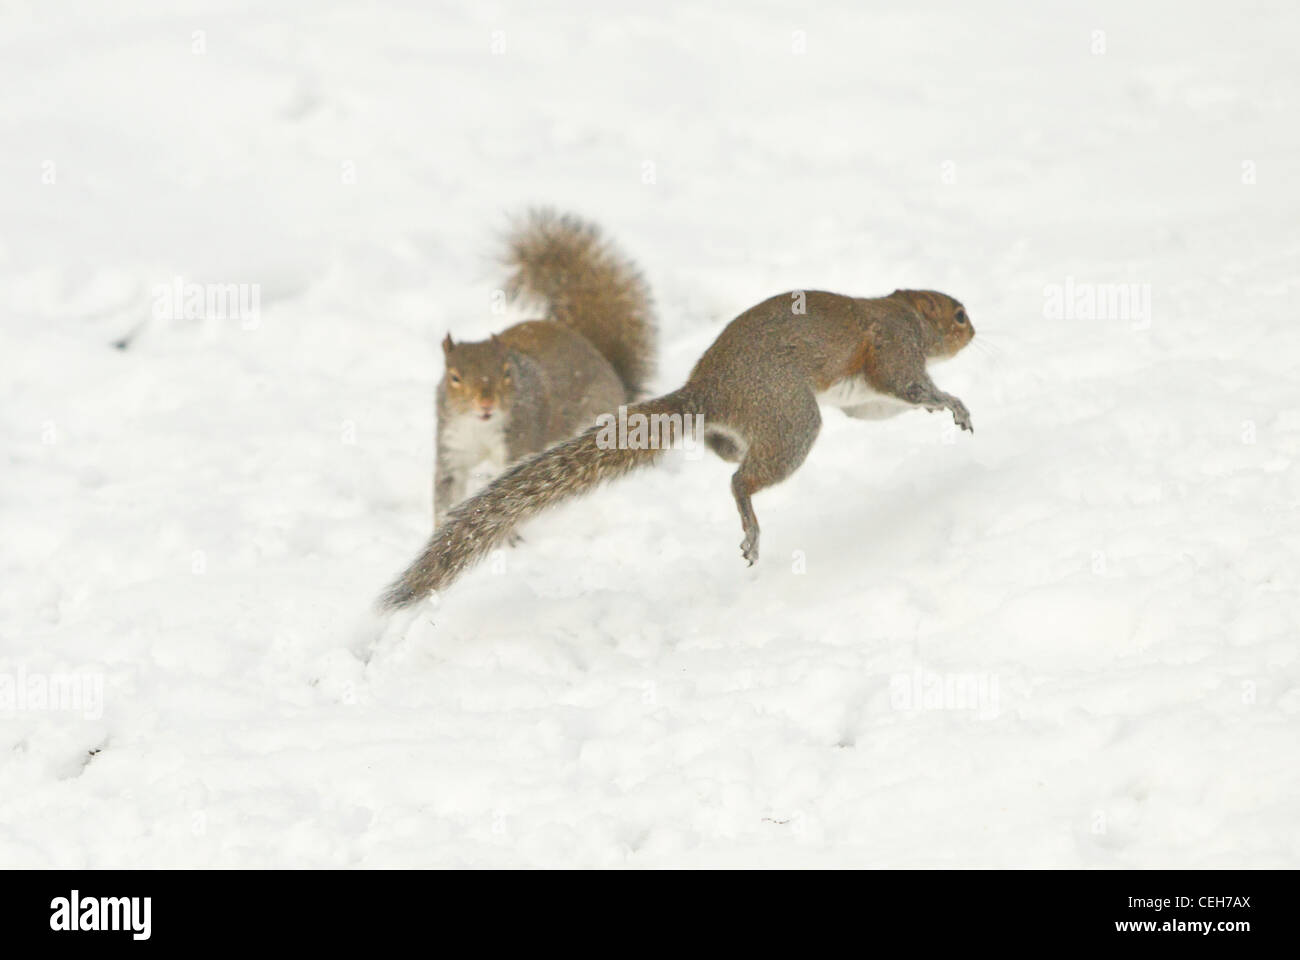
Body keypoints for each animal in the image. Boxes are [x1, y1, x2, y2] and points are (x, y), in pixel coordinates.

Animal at [379, 283, 972, 606]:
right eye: (957, 313)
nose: (974, 330)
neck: (903, 313)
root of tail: (706, 391)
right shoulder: (893, 351)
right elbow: (909, 386)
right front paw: (950, 402)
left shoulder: (865, 396)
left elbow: (879, 406)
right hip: (792, 417)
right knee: (741, 480)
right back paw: (750, 523)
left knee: (725, 454)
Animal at [434, 209, 655, 528]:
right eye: (454, 377)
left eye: (507, 372)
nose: (486, 403)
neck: (480, 427)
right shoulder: (452, 446)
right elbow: (446, 492)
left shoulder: (518, 441)